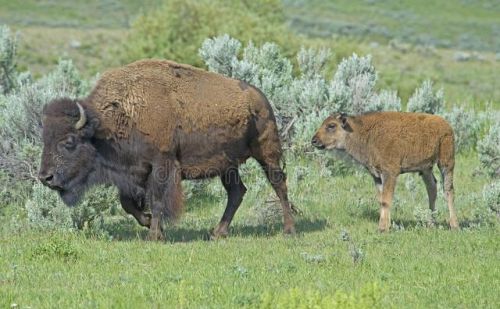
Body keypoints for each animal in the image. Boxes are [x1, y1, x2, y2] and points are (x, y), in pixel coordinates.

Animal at [40, 59, 296, 239]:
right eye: (44, 139)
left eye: (69, 141)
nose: (45, 177)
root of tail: (260, 97)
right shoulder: (133, 173)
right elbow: (128, 204)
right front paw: (151, 224)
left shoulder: (161, 164)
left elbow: (157, 199)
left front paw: (155, 235)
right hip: (228, 165)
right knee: (237, 192)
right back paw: (217, 233)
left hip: (266, 151)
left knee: (278, 184)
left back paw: (288, 230)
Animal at [310, 112, 458, 230]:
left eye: (331, 125)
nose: (314, 140)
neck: (364, 132)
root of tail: (446, 125)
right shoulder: (377, 176)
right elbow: (381, 200)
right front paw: (384, 225)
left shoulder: (390, 173)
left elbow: (387, 199)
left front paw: (383, 228)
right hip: (426, 169)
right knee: (432, 189)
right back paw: (430, 223)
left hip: (446, 163)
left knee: (448, 190)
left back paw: (454, 225)